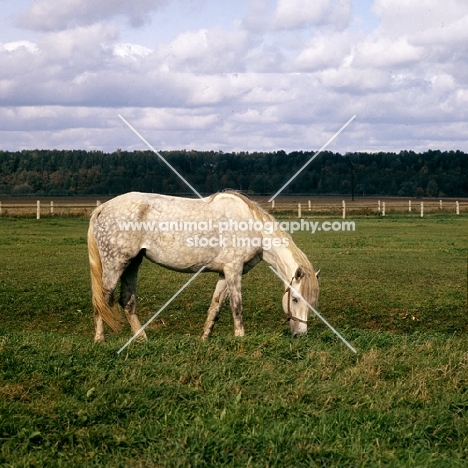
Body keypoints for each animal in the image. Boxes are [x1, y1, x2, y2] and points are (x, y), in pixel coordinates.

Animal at [88, 191, 320, 344]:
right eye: (295, 299)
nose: (300, 334)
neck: (252, 227)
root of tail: (103, 208)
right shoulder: (234, 270)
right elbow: (237, 306)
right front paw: (240, 337)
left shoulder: (224, 273)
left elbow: (215, 307)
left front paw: (204, 338)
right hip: (115, 263)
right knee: (102, 300)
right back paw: (99, 339)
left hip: (132, 263)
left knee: (127, 301)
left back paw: (142, 339)